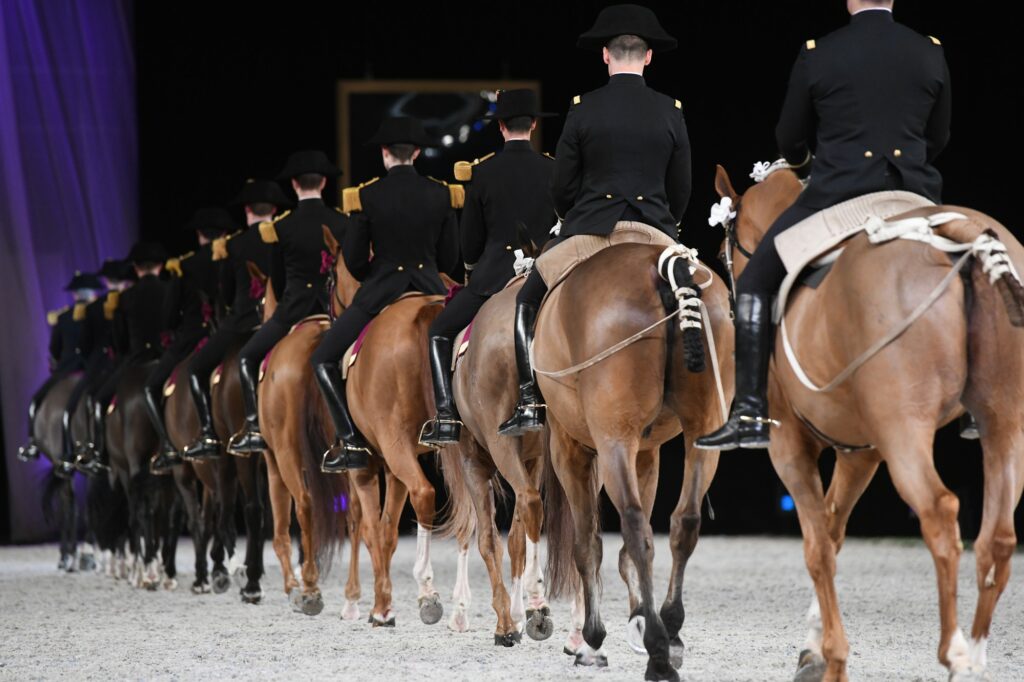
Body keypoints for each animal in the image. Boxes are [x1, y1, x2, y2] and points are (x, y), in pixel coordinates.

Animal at [532, 240, 733, 679]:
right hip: (701, 431)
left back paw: (657, 652)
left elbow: (586, 544)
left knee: (635, 525)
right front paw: (640, 616)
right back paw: (670, 628)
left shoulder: (570, 449)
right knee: (685, 522)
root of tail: (664, 267)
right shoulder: (648, 451)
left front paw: (593, 639)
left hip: (612, 440)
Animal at [712, 160, 1024, 679]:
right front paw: (814, 647)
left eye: (722, 255)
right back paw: (976, 656)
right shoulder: (861, 453)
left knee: (940, 512)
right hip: (1003, 424)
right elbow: (834, 531)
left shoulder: (790, 448)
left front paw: (831, 656)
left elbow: (818, 547)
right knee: (997, 536)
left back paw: (954, 651)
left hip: (906, 432)